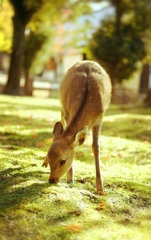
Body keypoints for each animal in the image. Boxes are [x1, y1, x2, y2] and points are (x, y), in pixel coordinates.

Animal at [42, 60, 112, 195]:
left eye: (62, 161)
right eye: (49, 155)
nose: (52, 180)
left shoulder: (100, 119)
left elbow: (96, 147)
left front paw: (100, 188)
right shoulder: (68, 111)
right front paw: (70, 178)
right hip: (62, 106)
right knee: (60, 126)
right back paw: (44, 163)